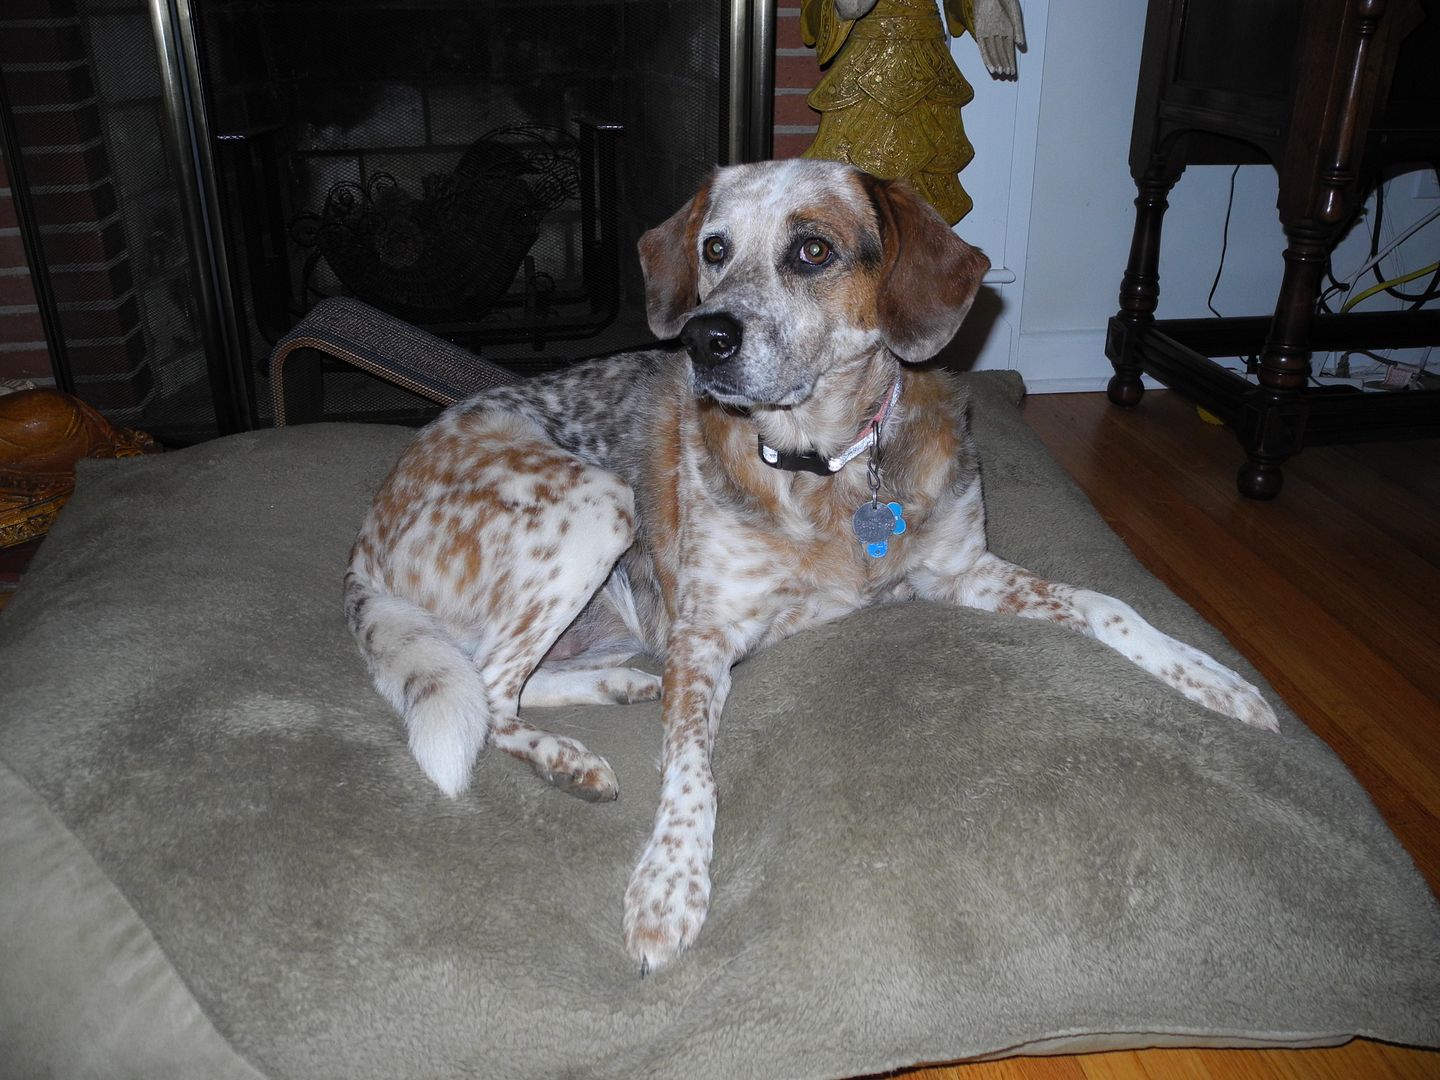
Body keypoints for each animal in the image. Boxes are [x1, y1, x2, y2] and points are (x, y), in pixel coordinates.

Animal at [351, 156, 1284, 979]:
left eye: (812, 251)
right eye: (713, 249)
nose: (705, 338)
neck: (827, 464)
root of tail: (366, 538)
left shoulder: (966, 571)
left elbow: (1105, 603)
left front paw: (1216, 679)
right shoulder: (703, 637)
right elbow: (692, 775)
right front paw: (667, 886)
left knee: (507, 679)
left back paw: (620, 687)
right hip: (597, 504)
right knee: (488, 688)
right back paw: (567, 759)